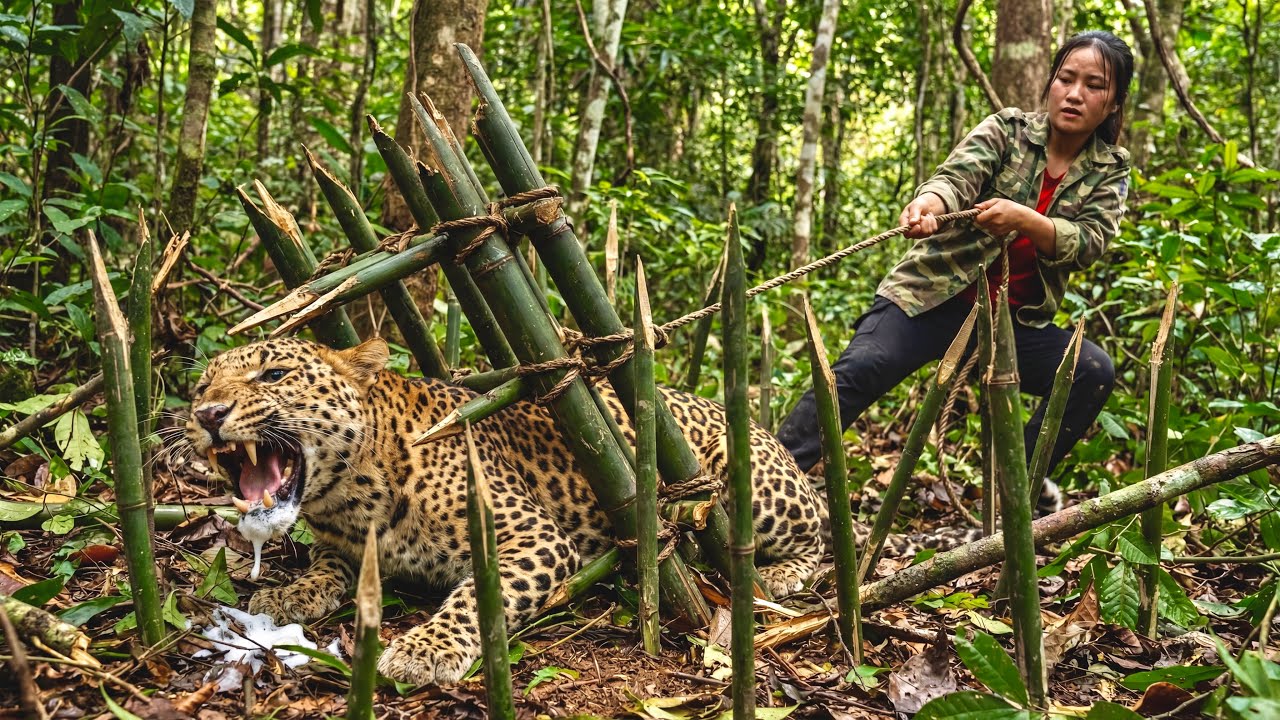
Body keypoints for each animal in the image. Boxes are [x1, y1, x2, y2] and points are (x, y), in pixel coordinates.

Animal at [185, 336, 973, 686]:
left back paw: (778, 576)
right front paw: (286, 593)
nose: (205, 414)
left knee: (821, 536)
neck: (354, 497)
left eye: (272, 373)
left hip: (738, 478)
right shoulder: (347, 548)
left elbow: (474, 596)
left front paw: (426, 648)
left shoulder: (531, 536)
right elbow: (324, 572)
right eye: (202, 382)